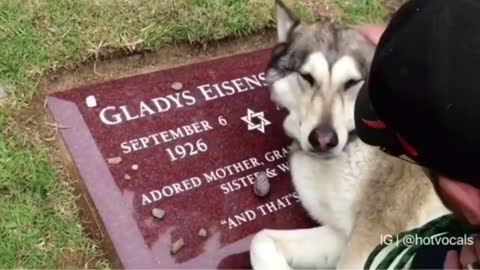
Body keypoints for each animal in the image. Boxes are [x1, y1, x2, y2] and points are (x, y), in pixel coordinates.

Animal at [248, 1, 450, 268]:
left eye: (351, 83)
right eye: (307, 77)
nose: (323, 141)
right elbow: (259, 239)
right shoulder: (341, 233)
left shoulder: (371, 240)